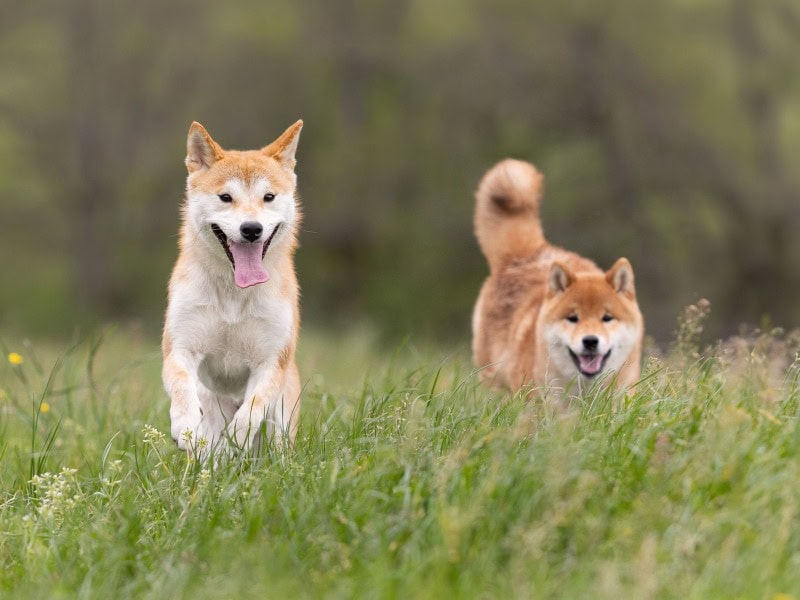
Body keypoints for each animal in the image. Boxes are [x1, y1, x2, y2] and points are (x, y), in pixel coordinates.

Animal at [162, 119, 304, 458]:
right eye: (225, 197)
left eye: (269, 197)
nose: (251, 229)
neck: (233, 297)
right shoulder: (180, 347)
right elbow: (182, 387)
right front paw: (185, 427)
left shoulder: (270, 362)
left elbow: (251, 411)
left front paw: (237, 437)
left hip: (282, 419)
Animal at [468, 159, 644, 394]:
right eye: (572, 318)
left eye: (607, 318)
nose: (590, 341)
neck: (584, 391)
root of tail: (527, 252)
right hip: (494, 380)